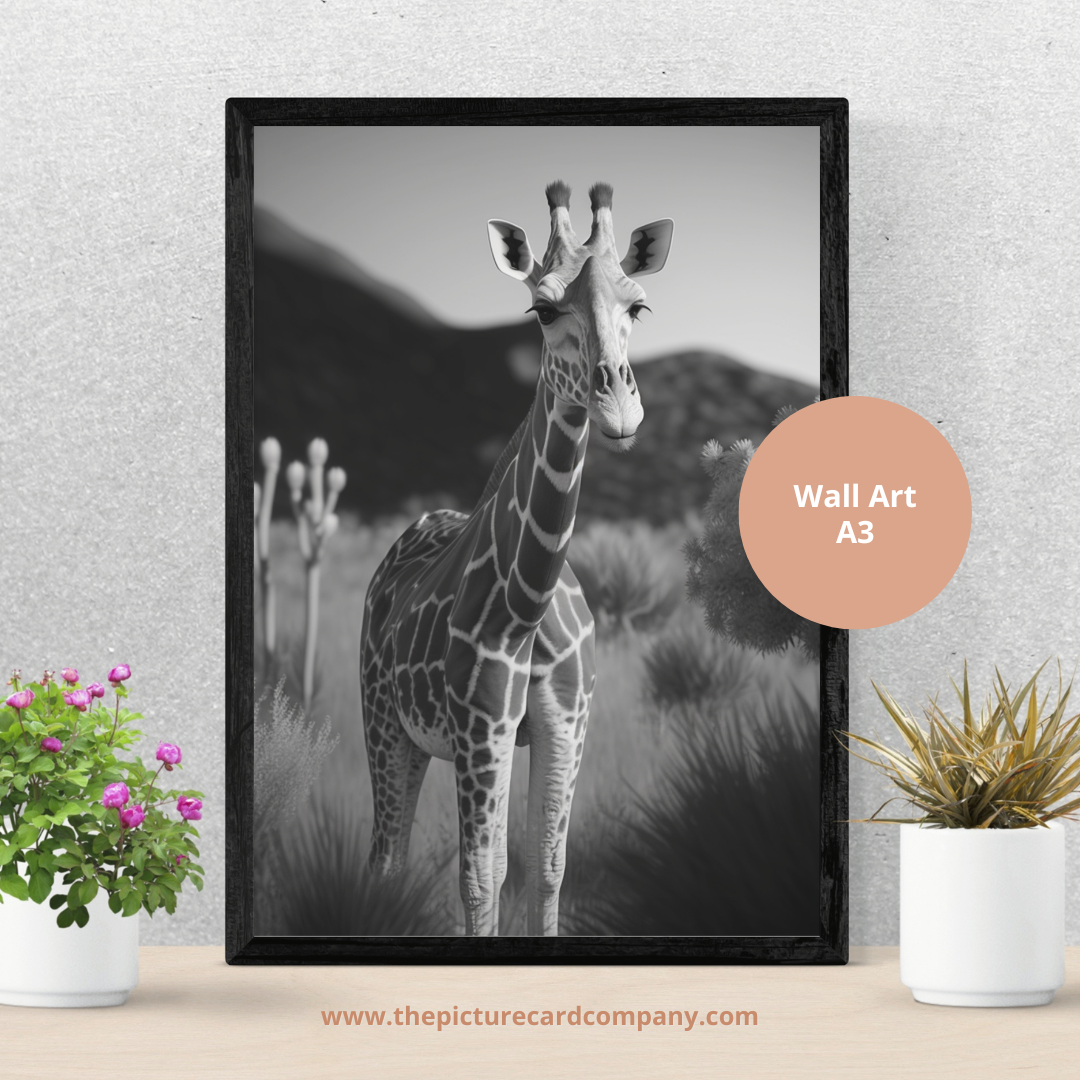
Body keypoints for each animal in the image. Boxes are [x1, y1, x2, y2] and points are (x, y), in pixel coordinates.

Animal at [360, 181, 673, 936]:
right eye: (542, 308)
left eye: (638, 306)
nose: (619, 409)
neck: (527, 606)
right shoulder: (483, 728)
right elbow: (481, 878)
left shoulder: (564, 728)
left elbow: (546, 869)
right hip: (386, 721)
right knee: (386, 853)